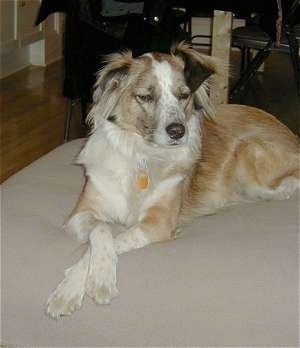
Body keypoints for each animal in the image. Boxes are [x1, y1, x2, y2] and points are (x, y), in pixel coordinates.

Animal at [45, 42, 298, 318]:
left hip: (249, 154)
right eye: (145, 97)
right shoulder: (80, 214)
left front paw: (93, 281)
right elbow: (103, 231)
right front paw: (73, 288)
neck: (143, 157)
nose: (178, 131)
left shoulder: (158, 223)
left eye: (183, 95)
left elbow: (115, 238)